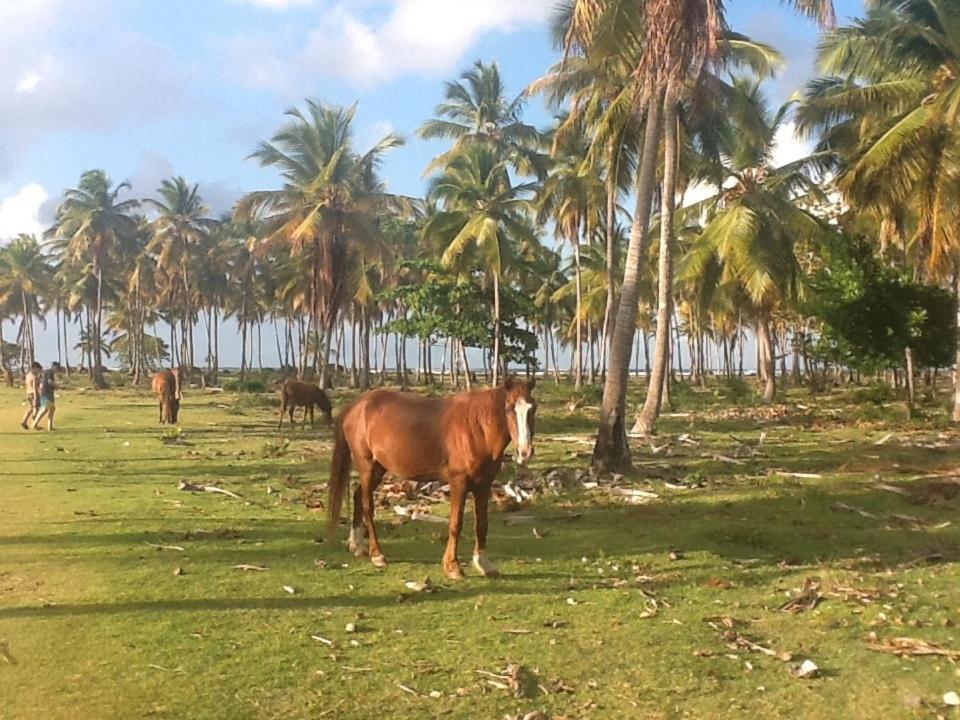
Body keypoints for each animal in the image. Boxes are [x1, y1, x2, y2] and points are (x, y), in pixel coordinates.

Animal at [328, 376, 540, 580]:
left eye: (533, 407)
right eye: (509, 408)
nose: (525, 451)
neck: (476, 428)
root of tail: (356, 406)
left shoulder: (483, 484)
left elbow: (482, 524)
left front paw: (484, 564)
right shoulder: (459, 483)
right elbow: (456, 523)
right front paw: (452, 567)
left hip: (378, 469)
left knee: (357, 497)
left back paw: (357, 545)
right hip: (368, 467)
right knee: (366, 505)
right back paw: (377, 555)